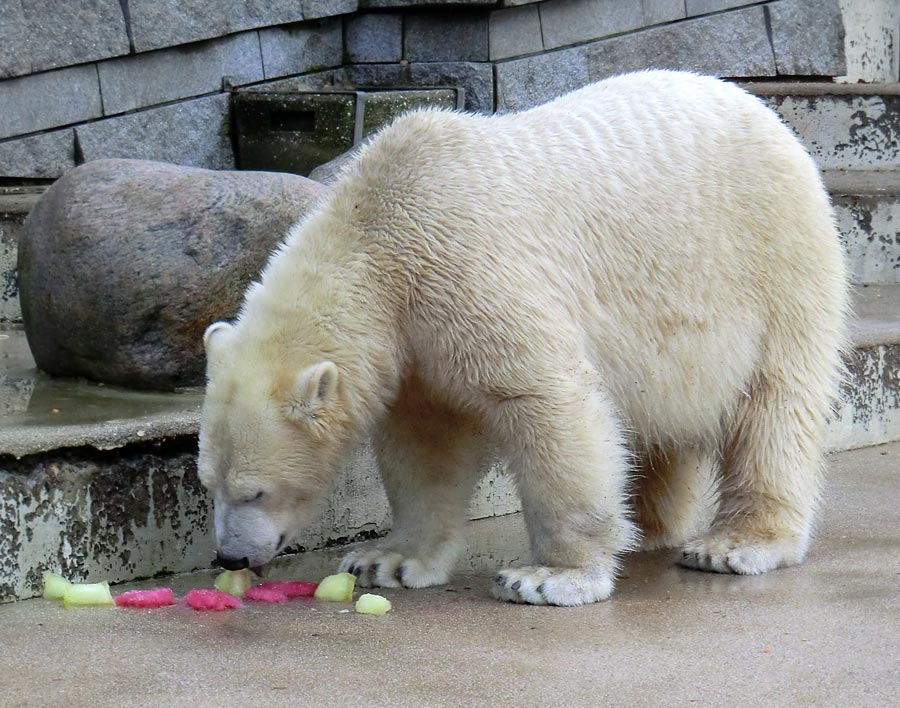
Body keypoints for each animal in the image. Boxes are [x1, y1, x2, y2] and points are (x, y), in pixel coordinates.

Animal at [199, 69, 852, 604]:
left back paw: (736, 543)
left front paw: (549, 577)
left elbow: (545, 397)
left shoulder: (465, 267)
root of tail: (765, 112)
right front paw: (387, 560)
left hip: (770, 261)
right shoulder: (412, 346)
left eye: (256, 492)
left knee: (774, 402)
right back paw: (648, 526)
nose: (230, 557)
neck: (378, 230)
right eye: (210, 484)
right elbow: (425, 443)